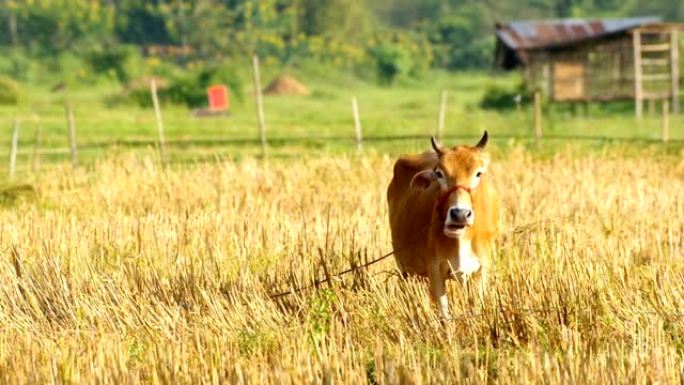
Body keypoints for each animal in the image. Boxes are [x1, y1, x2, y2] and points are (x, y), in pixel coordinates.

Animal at [388, 132, 500, 318]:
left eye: (478, 173)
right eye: (439, 174)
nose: (460, 214)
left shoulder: (482, 270)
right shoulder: (435, 271)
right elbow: (445, 315)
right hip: (406, 271)